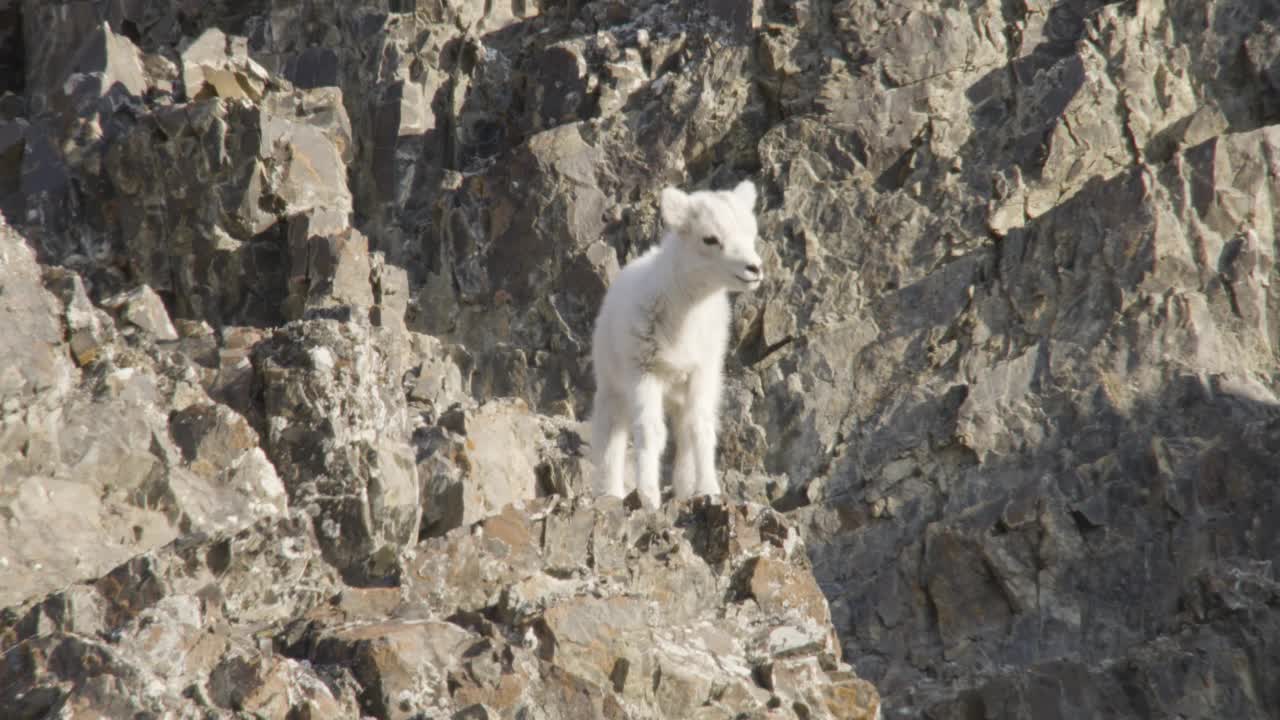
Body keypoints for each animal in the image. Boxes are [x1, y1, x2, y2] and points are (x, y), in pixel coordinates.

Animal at [586, 179, 757, 507]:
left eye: (751, 232)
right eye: (710, 238)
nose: (754, 269)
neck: (683, 320)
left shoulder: (702, 373)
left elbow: (700, 428)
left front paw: (708, 490)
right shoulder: (644, 373)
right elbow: (651, 433)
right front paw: (649, 498)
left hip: (679, 393)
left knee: (684, 432)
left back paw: (683, 490)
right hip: (614, 390)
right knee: (612, 438)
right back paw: (612, 494)